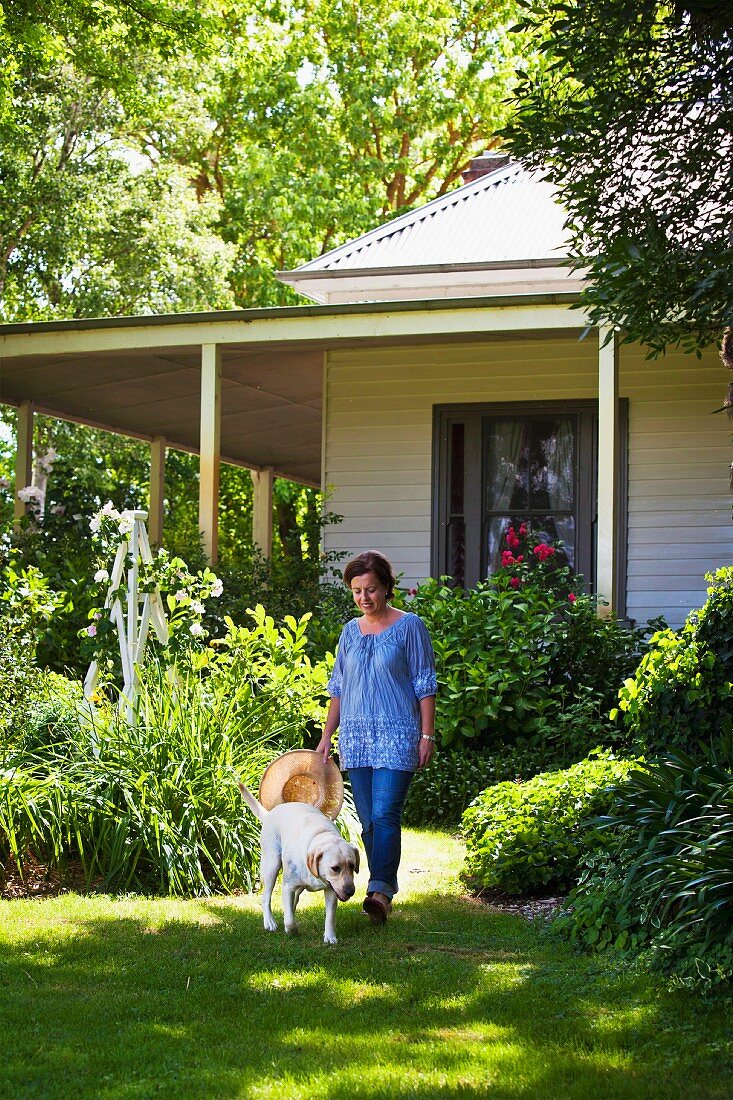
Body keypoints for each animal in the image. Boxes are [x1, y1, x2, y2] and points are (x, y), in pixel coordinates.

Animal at [238, 783, 358, 946]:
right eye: (335, 868)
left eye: (352, 866)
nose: (350, 891)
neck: (320, 835)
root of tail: (270, 814)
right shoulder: (288, 886)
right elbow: (289, 921)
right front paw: (291, 930)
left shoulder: (332, 890)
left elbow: (330, 917)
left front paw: (330, 936)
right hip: (271, 866)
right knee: (266, 898)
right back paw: (269, 922)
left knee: (293, 901)